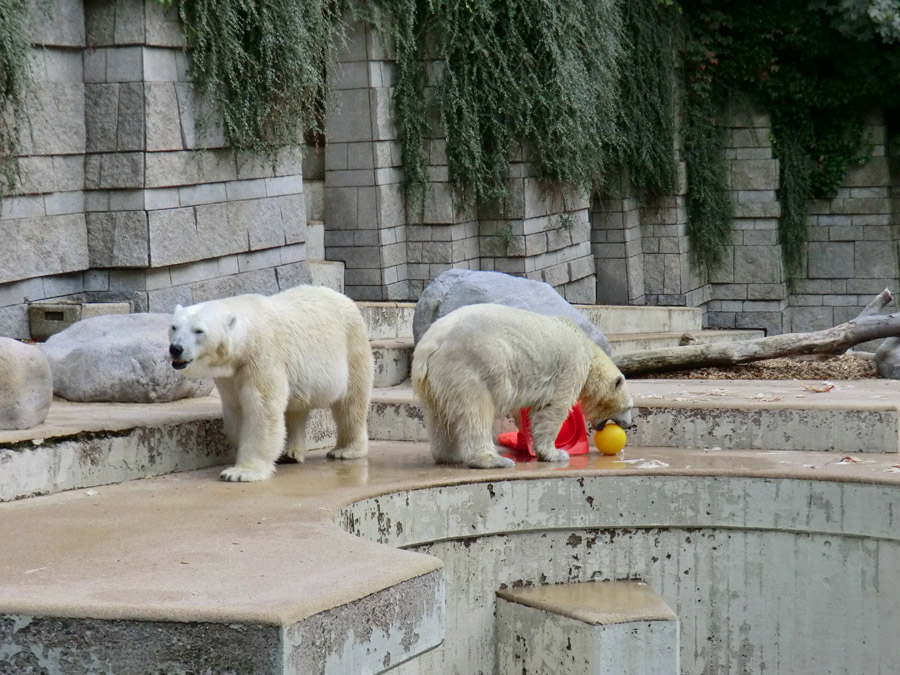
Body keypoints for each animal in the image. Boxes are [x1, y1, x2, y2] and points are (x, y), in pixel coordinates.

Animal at [168, 284, 372, 480]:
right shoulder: (230, 375)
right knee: (296, 407)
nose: (175, 348)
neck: (248, 336)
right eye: (174, 327)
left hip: (351, 346)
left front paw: (241, 472)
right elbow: (236, 409)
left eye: (199, 330)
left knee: (351, 402)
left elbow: (261, 408)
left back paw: (346, 450)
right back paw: (289, 453)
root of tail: (343, 297)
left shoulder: (262, 358)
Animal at [414, 304, 632, 468]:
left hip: (434, 381)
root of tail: (429, 346)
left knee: (439, 416)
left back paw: (450, 455)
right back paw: (494, 460)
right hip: (469, 366)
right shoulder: (570, 367)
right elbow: (553, 408)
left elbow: (524, 412)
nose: (629, 425)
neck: (589, 351)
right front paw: (556, 453)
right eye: (629, 407)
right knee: (476, 411)